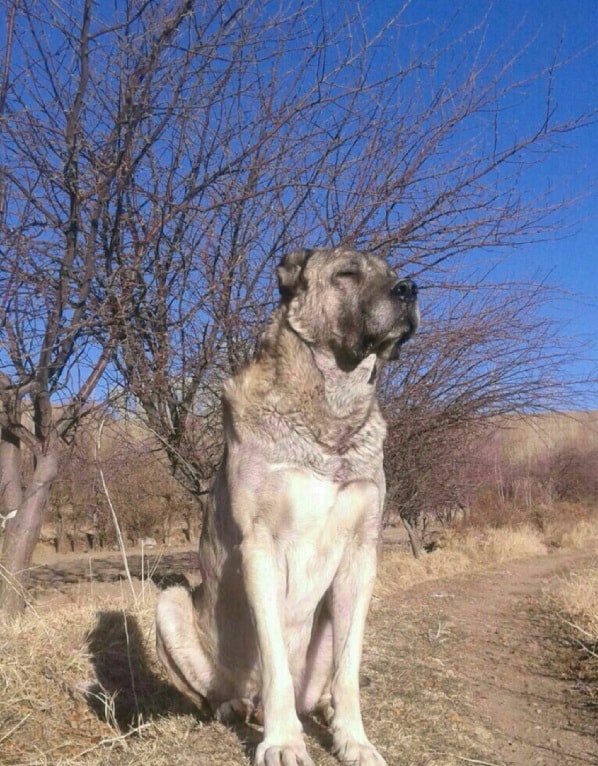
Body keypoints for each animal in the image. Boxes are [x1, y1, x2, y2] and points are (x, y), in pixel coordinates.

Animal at [159, 249, 422, 764]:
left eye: (391, 272)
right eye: (347, 274)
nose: (409, 289)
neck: (330, 407)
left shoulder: (361, 553)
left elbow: (349, 667)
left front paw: (354, 739)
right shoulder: (260, 548)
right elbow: (275, 656)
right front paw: (282, 741)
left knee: (324, 683)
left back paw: (322, 709)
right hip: (171, 601)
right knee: (218, 691)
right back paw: (238, 707)